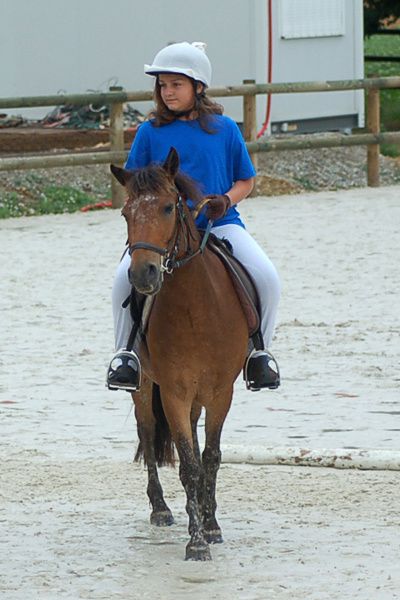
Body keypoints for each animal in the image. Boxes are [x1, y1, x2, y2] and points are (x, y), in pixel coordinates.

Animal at [111, 148, 248, 560]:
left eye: (169, 207)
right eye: (125, 213)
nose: (143, 275)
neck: (196, 307)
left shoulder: (220, 392)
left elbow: (210, 457)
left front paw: (211, 525)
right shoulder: (173, 391)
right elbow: (188, 464)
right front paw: (196, 540)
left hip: (198, 396)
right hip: (145, 388)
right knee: (147, 435)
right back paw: (160, 509)